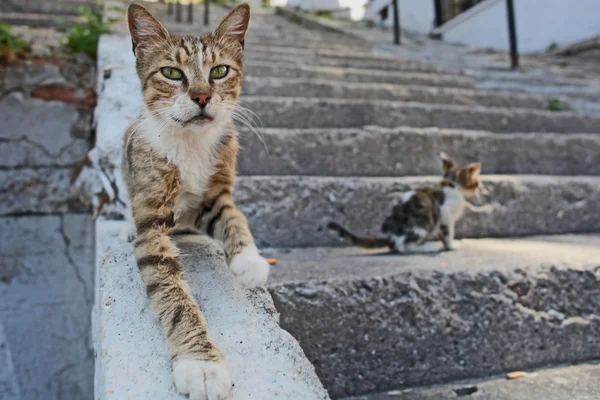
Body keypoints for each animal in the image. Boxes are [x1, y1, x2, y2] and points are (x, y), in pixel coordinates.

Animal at [122, 3, 268, 400]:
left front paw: (249, 259)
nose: (202, 97)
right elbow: (171, 293)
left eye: (220, 71)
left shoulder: (213, 193)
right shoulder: (152, 217)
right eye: (172, 73)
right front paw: (202, 364)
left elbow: (233, 215)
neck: (190, 144)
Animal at [328, 154, 482, 253]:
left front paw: (446, 245)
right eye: (476, 183)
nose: (478, 189)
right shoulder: (445, 215)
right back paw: (428, 247)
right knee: (402, 248)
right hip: (420, 227)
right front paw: (451, 246)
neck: (450, 186)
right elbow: (448, 232)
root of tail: (390, 238)